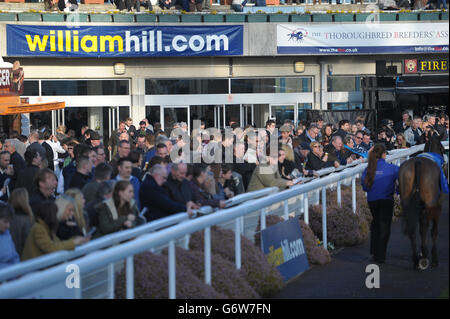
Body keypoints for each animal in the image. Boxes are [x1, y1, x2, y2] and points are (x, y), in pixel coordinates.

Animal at [400, 132, 444, 270]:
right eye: (442, 148)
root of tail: (418, 163)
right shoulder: (437, 206)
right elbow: (433, 231)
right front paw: (435, 259)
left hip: (407, 202)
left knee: (412, 230)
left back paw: (416, 258)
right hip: (429, 204)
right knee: (425, 226)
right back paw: (424, 255)